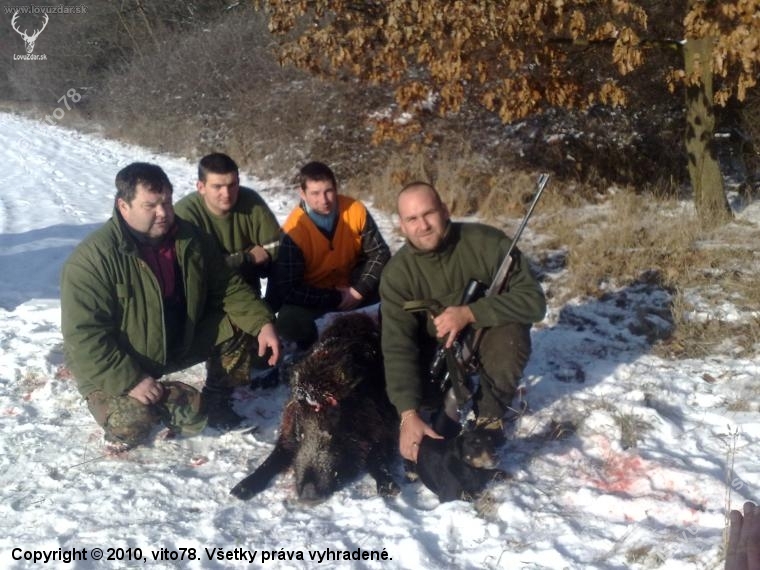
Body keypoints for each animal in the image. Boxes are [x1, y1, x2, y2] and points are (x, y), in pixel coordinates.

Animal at [230, 313, 400, 503]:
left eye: (334, 424)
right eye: (301, 428)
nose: (308, 496)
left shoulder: (385, 426)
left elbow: (378, 457)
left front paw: (389, 488)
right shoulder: (287, 428)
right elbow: (272, 458)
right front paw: (240, 489)